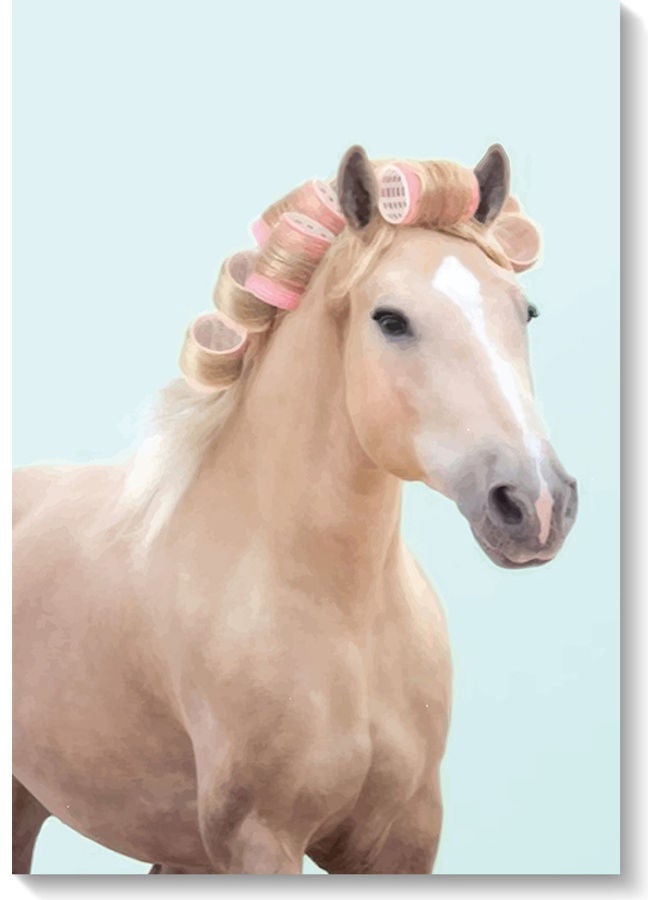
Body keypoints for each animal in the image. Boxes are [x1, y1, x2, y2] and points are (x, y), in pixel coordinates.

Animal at [12, 144, 577, 875]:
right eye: (389, 319)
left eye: (524, 311)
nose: (536, 503)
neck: (343, 618)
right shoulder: (260, 840)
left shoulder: (404, 839)